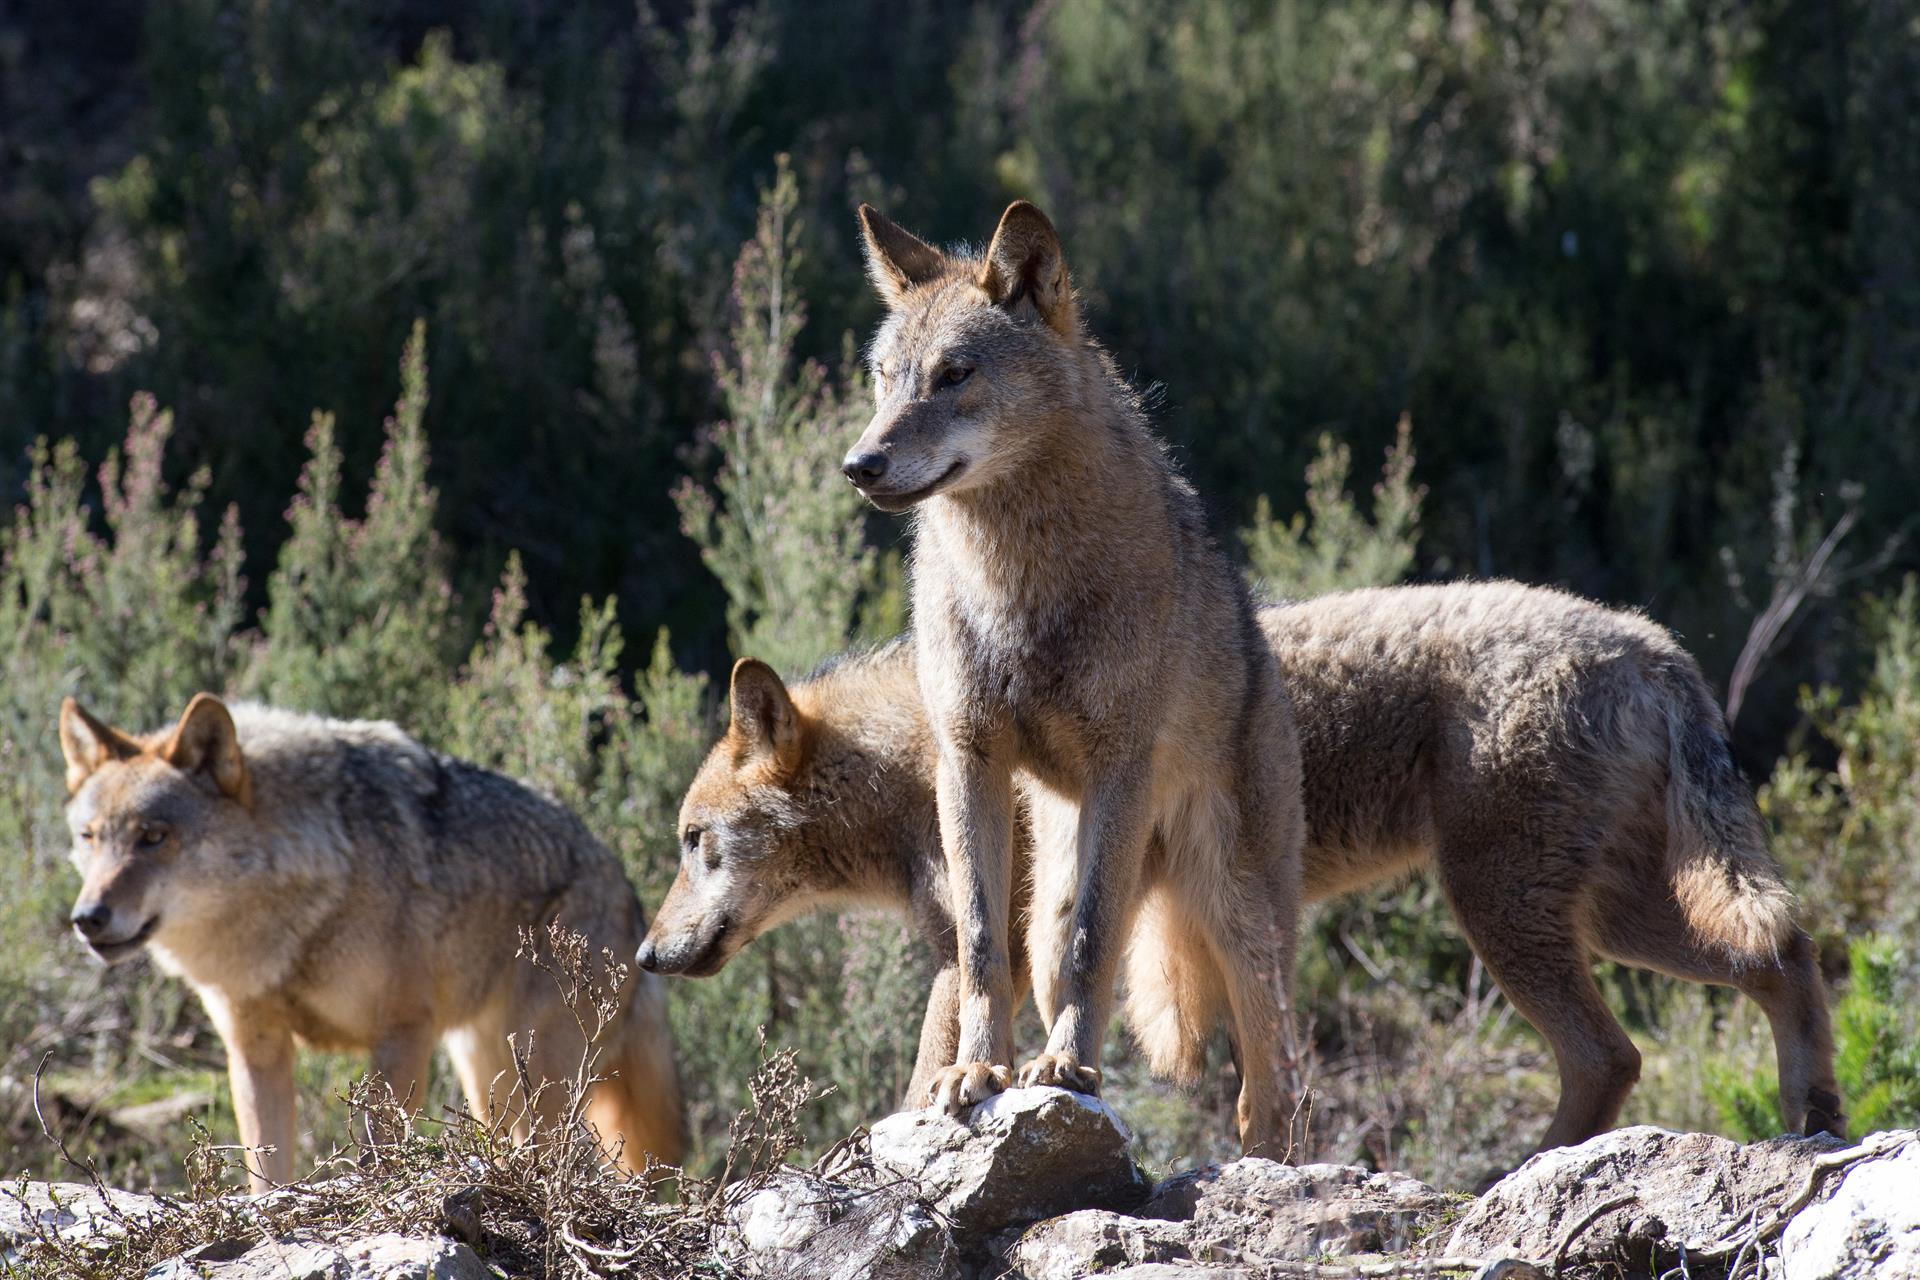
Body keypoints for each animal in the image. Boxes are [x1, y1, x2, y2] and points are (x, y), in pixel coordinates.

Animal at [59, 693, 683, 1191]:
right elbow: (266, 1171)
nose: (88, 918)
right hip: (490, 1081)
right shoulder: (256, 1050)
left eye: (153, 837)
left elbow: (380, 1155)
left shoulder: (402, 1034)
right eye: (89, 838)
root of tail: (627, 889)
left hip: (539, 1079)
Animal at [641, 582, 1842, 1159]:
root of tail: (1656, 644)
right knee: (1783, 954)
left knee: (1612, 1050)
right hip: (1617, 918)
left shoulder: (988, 957)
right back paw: (1813, 1116)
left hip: (1511, 915)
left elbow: (928, 1074)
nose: (647, 954)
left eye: (695, 843)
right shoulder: (986, 956)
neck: (916, 762)